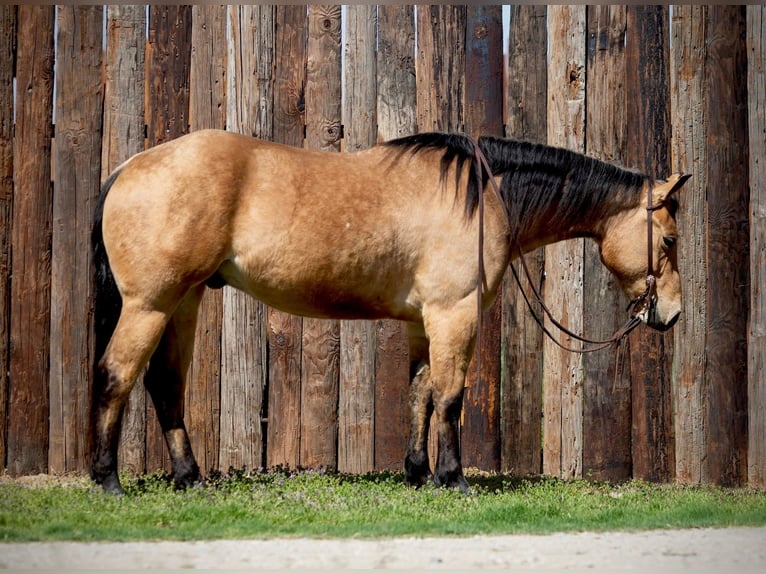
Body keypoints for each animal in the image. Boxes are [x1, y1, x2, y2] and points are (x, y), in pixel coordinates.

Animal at [88, 129, 688, 496]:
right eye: (670, 239)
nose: (672, 314)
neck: (485, 195)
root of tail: (129, 167)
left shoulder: (425, 322)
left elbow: (420, 393)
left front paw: (418, 474)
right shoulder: (454, 314)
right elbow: (449, 397)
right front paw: (453, 478)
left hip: (184, 301)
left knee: (165, 385)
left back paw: (188, 477)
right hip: (150, 304)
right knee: (117, 376)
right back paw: (108, 479)